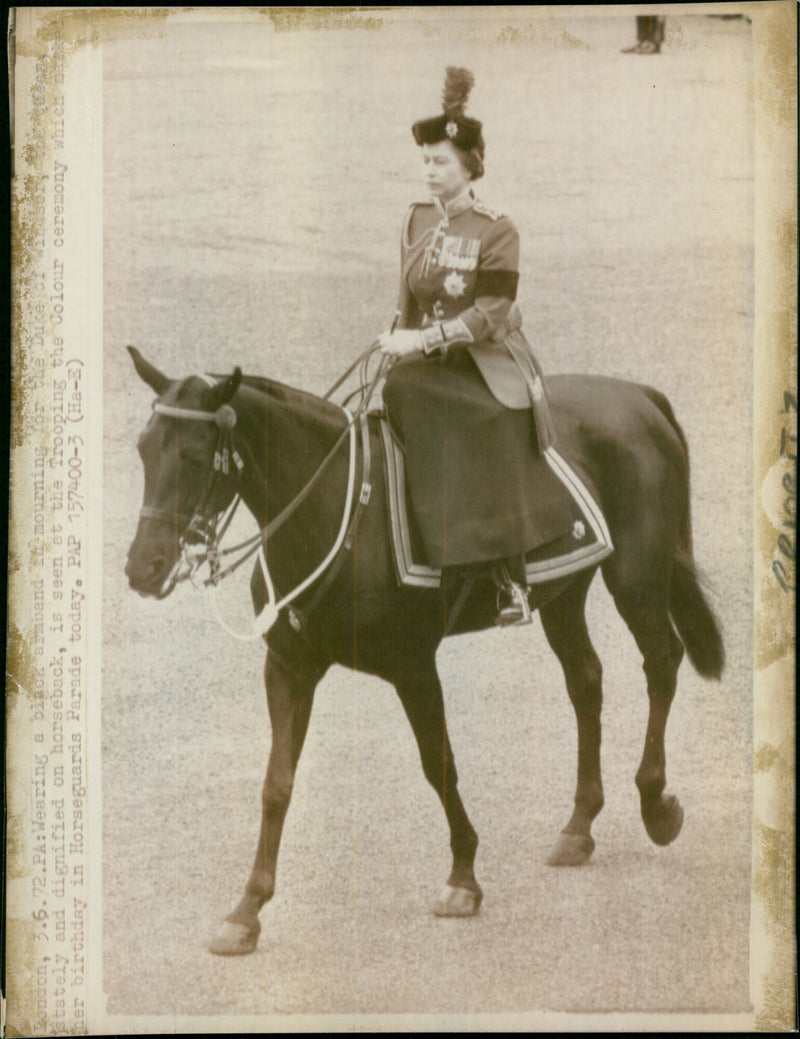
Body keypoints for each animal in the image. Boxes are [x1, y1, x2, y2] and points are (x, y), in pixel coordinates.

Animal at [124, 347, 723, 955]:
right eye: (144, 448)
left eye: (195, 455)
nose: (142, 568)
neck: (338, 509)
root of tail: (635, 394)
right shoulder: (289, 667)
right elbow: (277, 784)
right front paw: (247, 910)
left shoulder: (413, 666)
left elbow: (439, 765)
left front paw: (462, 878)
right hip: (564, 593)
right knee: (586, 681)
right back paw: (579, 827)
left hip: (636, 577)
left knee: (661, 665)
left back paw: (654, 802)